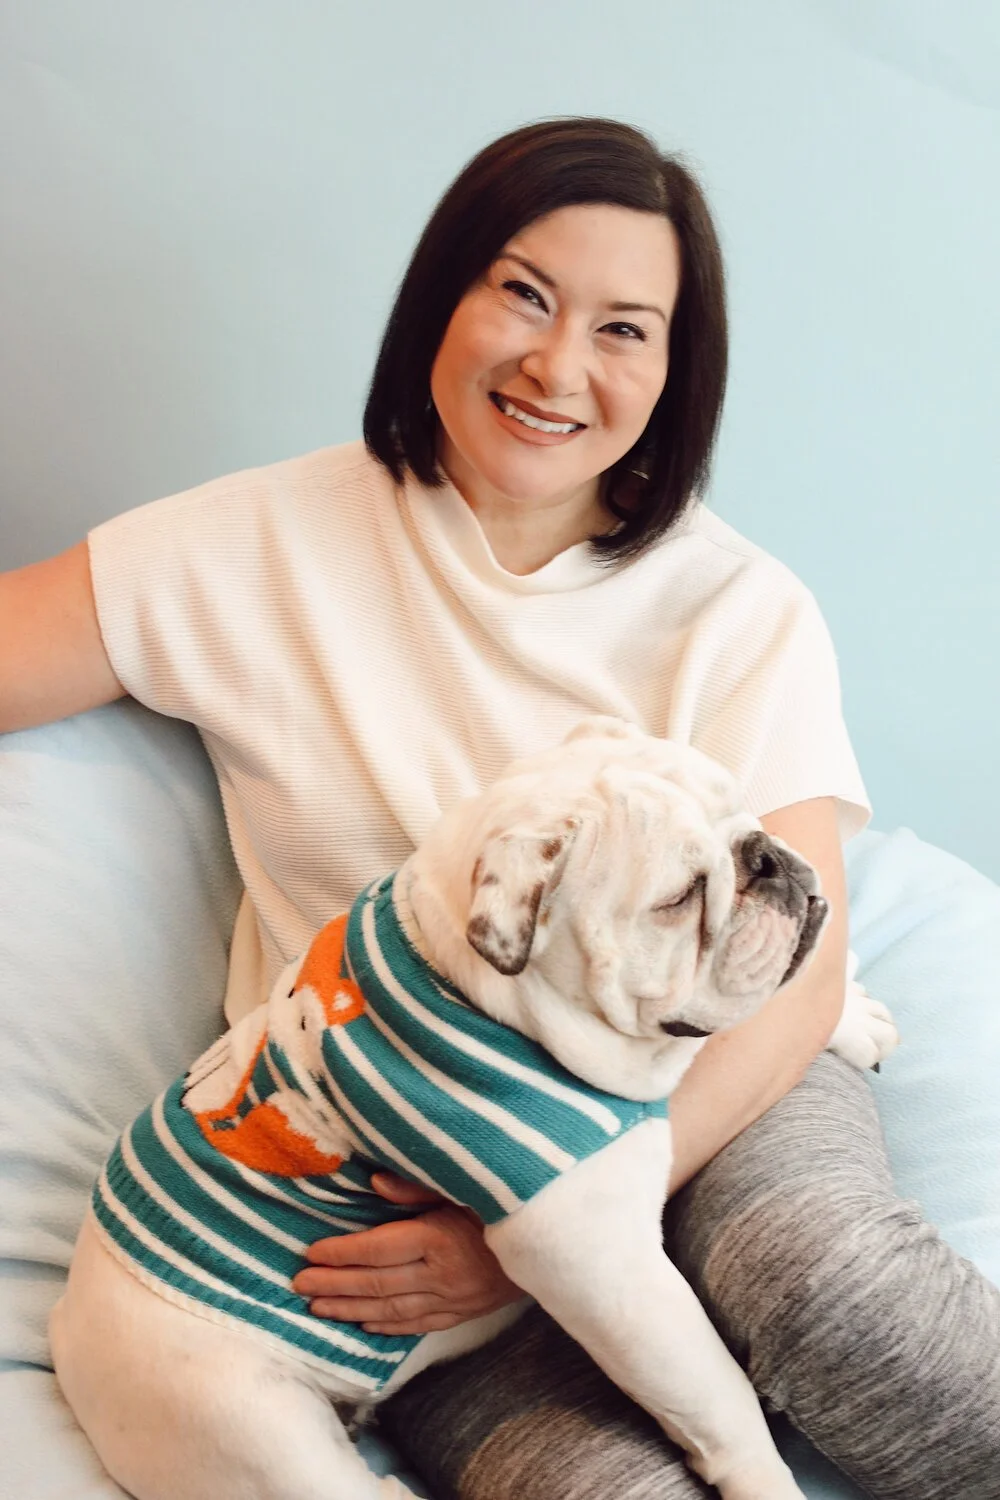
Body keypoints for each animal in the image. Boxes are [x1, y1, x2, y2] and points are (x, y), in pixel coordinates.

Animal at [50, 716, 898, 1500]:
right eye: (680, 898)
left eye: (741, 807)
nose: (768, 856)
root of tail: (63, 1327)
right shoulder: (604, 1265)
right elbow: (719, 1399)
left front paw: (851, 1015)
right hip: (254, 1434)